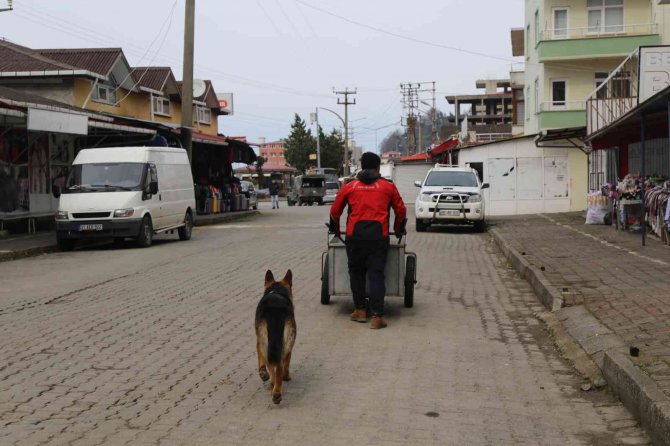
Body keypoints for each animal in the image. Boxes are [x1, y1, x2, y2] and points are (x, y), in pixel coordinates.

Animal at [255, 268, 296, 404]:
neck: (276, 291)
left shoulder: (258, 342)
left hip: (264, 341)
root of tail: (275, 312)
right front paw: (286, 377)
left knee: (272, 366)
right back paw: (277, 391)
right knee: (279, 366)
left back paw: (273, 386)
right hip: (287, 343)